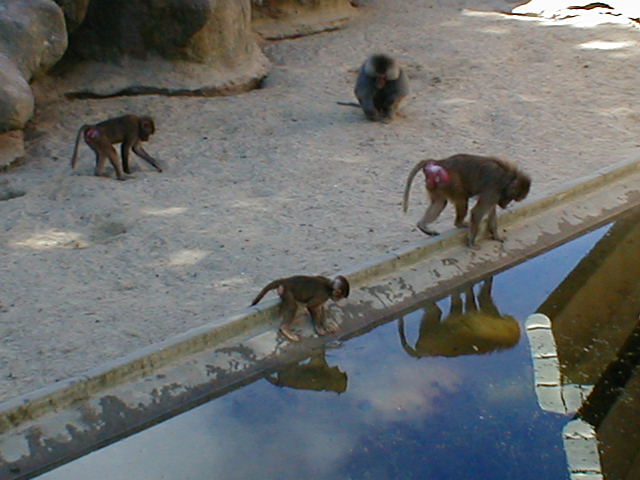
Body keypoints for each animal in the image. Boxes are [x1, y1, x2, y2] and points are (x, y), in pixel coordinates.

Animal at [403, 154, 531, 248]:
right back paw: (459, 223)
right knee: (462, 199)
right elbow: (477, 212)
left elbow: (491, 211)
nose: (505, 205)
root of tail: (441, 162)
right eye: (512, 197)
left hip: (437, 184)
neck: (507, 177)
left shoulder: (495, 194)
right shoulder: (494, 188)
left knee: (439, 203)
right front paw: (471, 242)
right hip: (450, 181)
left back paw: (422, 226)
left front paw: (496, 236)